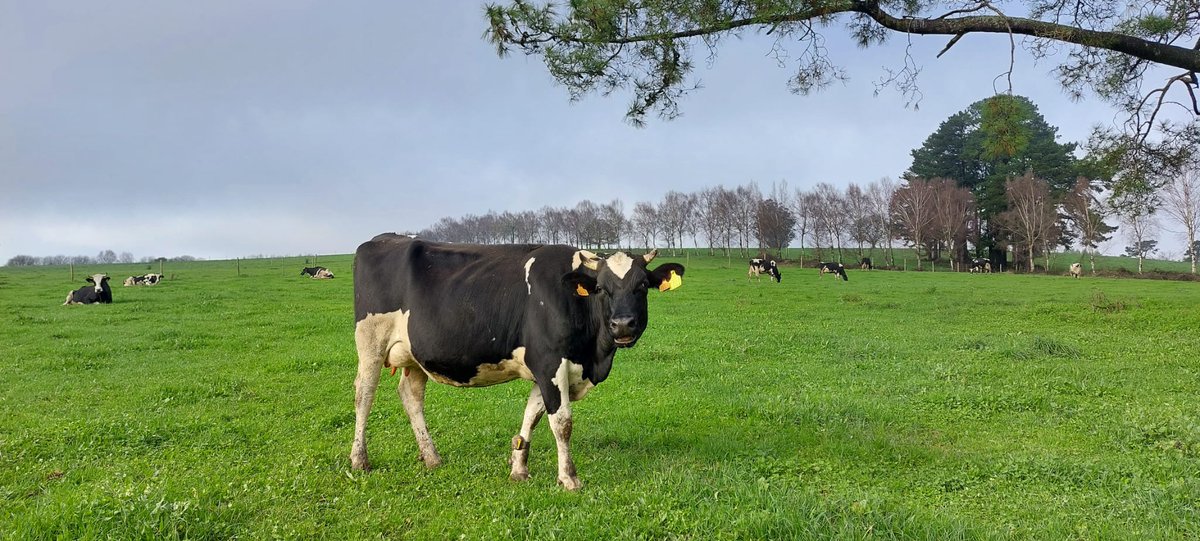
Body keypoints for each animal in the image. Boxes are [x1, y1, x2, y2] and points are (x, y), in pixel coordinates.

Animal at [349, 234, 685, 490]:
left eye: (641, 286)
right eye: (601, 288)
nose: (623, 324)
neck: (593, 356)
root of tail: (383, 238)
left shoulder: (546, 370)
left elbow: (532, 416)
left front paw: (519, 469)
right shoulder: (550, 362)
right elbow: (562, 423)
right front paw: (569, 478)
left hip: (415, 357)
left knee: (411, 396)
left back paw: (431, 457)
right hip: (370, 342)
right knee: (364, 394)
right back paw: (359, 459)